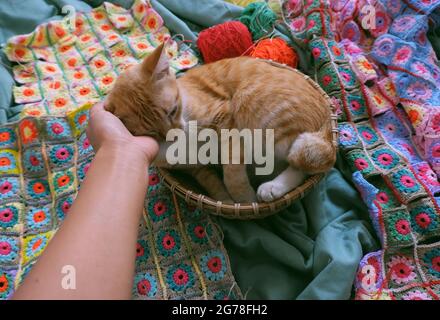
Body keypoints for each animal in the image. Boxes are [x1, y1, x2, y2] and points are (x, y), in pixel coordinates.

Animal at [105, 43, 336, 202]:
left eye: (172, 111)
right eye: (152, 133)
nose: (176, 133)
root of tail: (327, 121)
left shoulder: (225, 119)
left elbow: (231, 171)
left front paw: (244, 199)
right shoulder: (196, 168)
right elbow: (214, 183)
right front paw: (226, 200)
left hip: (256, 109)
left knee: (314, 163)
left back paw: (271, 187)